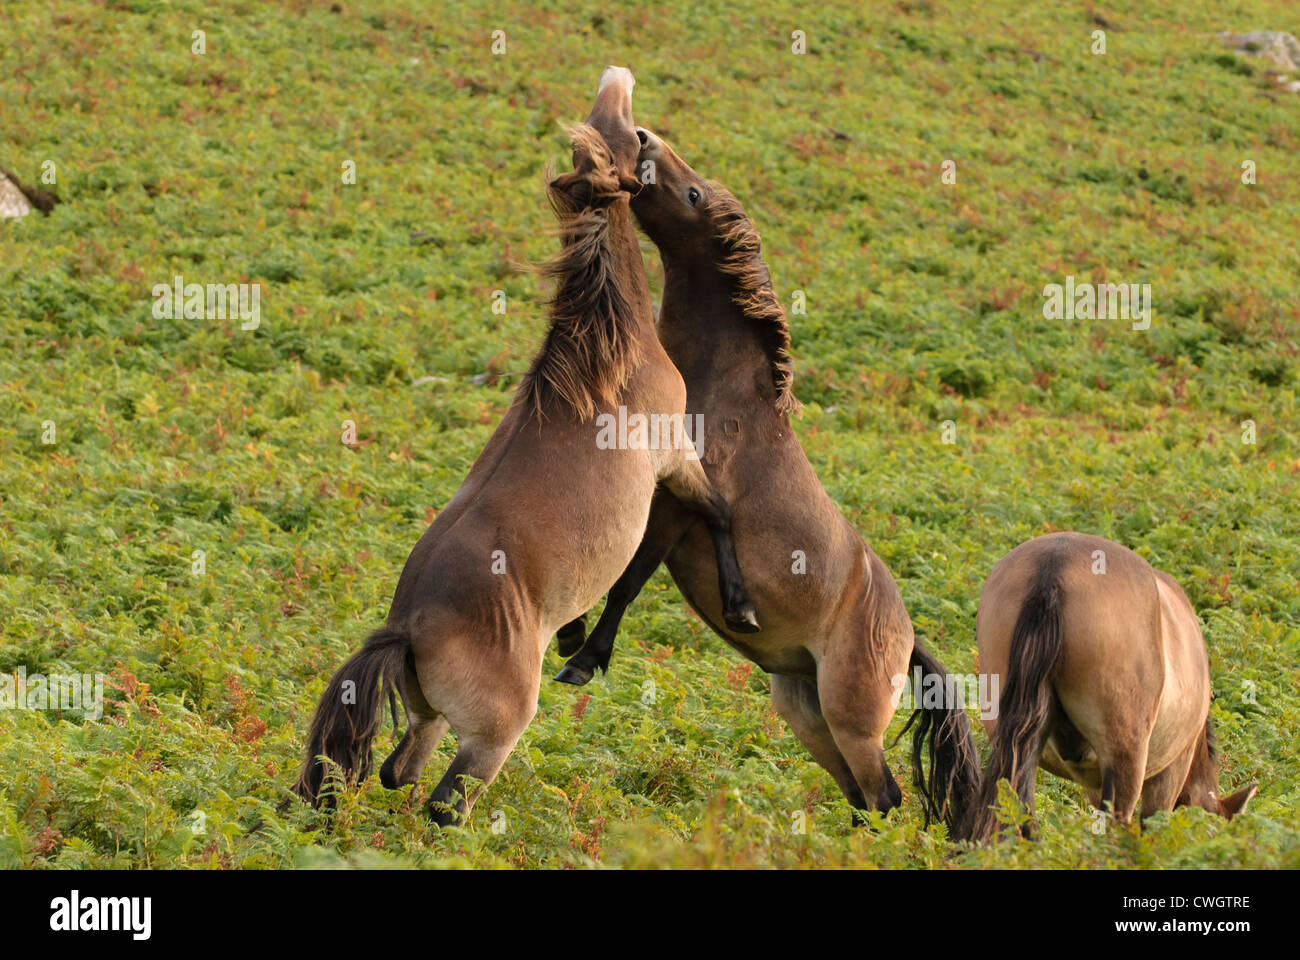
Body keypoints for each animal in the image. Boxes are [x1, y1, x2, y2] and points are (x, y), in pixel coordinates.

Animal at [293, 70, 759, 827]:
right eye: (622, 135)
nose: (633, 106)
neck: (605, 358)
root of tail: (408, 627)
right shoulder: (674, 457)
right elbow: (718, 510)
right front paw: (739, 605)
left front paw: (573, 638)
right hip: (493, 737)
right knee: (444, 802)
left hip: (430, 721)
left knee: (397, 770)